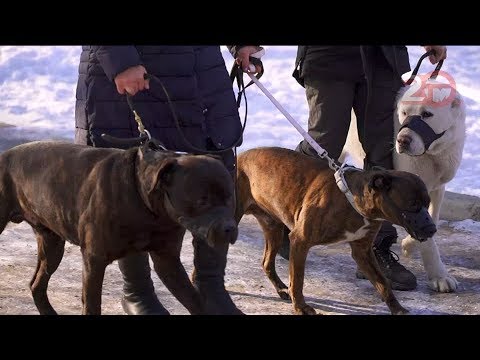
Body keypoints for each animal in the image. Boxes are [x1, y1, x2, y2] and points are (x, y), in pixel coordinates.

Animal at [0, 141, 237, 316]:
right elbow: (92, 305)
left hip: (52, 245)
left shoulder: (167, 260)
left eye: (229, 198)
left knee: (37, 284)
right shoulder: (94, 260)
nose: (230, 229)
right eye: (202, 200)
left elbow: (194, 300)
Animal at [236, 146, 436, 316]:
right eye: (412, 204)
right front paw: (300, 307)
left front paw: (397, 309)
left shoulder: (363, 251)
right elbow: (298, 279)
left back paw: (281, 289)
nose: (432, 228)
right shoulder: (300, 241)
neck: (353, 200)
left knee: (266, 263)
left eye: (427, 203)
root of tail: (239, 157)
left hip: (273, 229)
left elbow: (383, 283)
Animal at [342, 79, 464, 292]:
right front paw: (439, 276)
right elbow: (427, 238)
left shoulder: (437, 188)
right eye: (404, 113)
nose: (402, 140)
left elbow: (433, 218)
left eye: (427, 114)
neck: (432, 155)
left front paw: (409, 244)